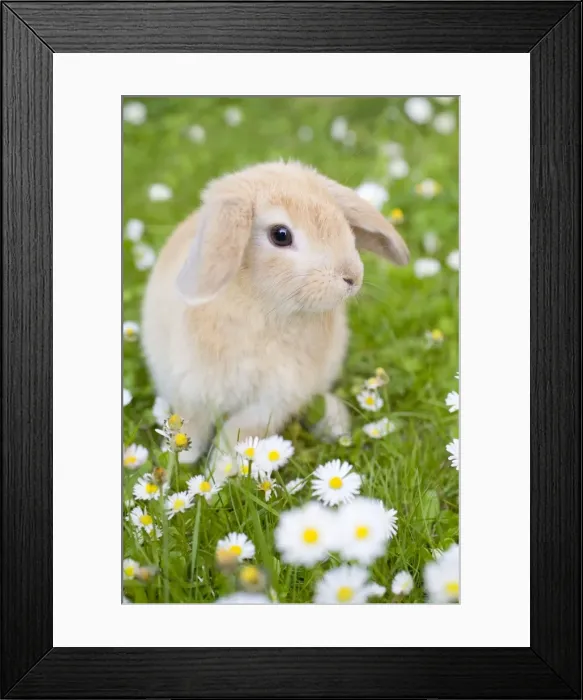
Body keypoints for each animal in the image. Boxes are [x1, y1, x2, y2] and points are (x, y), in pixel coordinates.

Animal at [141, 161, 408, 464]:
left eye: (342, 221)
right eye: (280, 235)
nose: (352, 277)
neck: (264, 308)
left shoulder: (273, 400)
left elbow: (238, 435)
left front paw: (221, 469)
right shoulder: (192, 389)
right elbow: (190, 427)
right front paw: (180, 461)